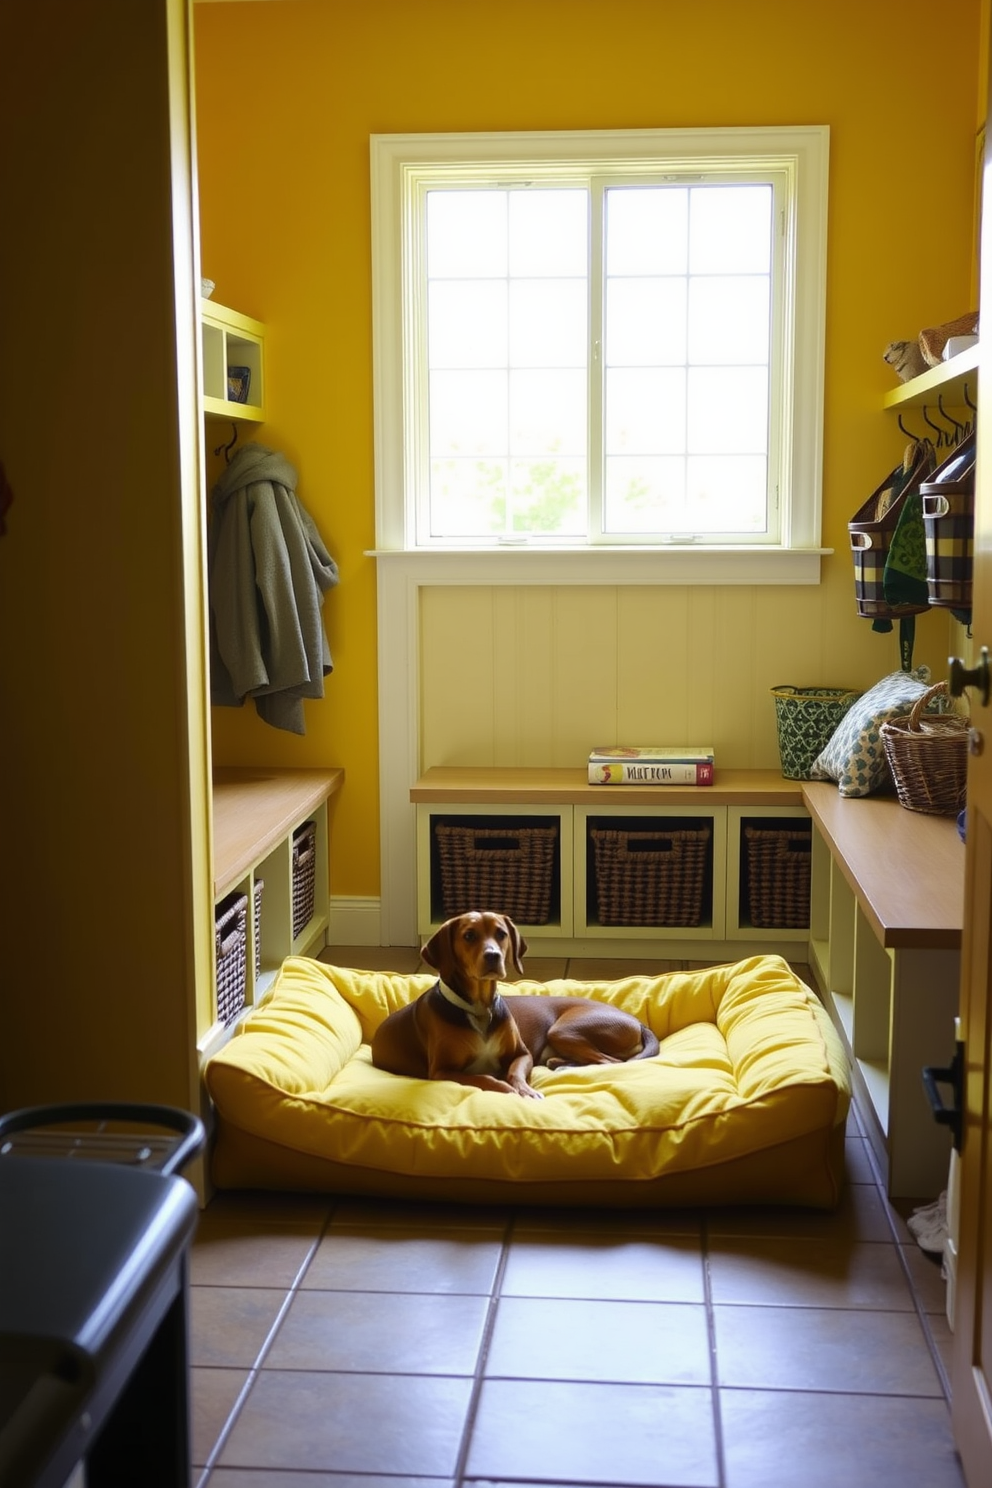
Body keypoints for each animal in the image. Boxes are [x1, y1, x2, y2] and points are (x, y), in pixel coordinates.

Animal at [370, 898, 660, 1101]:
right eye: (469, 935)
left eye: (501, 934)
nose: (493, 956)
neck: (480, 1009)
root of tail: (637, 1022)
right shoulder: (441, 1070)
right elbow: (486, 1078)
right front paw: (507, 1090)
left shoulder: (522, 1054)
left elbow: (514, 1073)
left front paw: (525, 1090)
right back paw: (560, 1065)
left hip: (563, 1030)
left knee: (610, 1063)